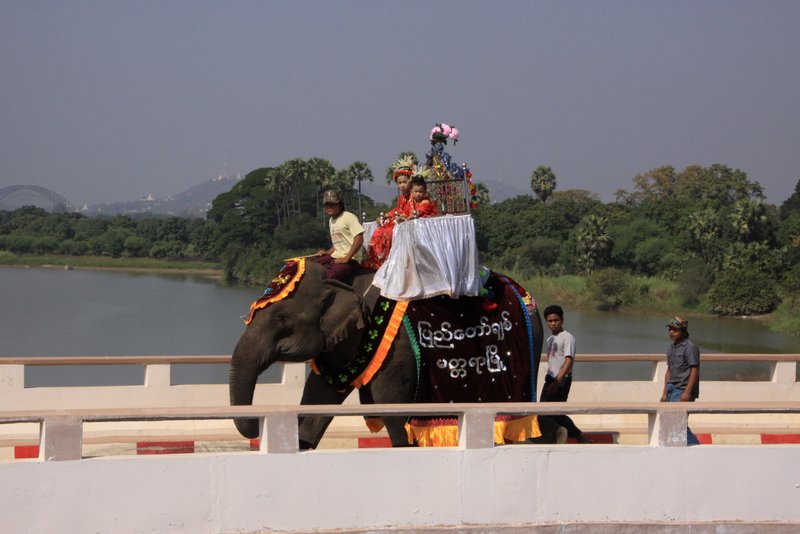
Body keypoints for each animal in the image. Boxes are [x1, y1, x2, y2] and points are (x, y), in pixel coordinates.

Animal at [229, 260, 543, 449]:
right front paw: (302, 444)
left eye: (281, 318)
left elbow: (390, 404)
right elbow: (317, 398)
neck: (347, 281)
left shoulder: (397, 349)